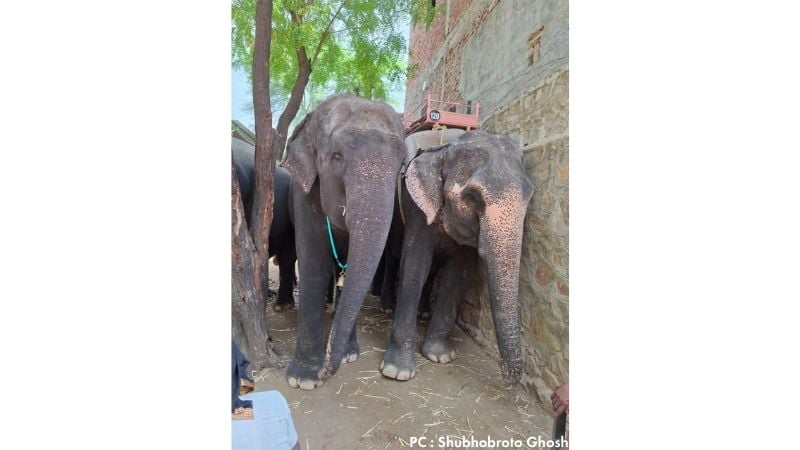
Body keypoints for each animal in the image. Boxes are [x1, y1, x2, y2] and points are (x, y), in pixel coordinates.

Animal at [281, 95, 406, 390]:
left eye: (402, 165)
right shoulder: (304, 196)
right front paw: (304, 379)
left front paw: (349, 355)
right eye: (336, 156)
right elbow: (313, 265)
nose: (325, 371)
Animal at [380, 129, 534, 384]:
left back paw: (423, 312)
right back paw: (386, 308)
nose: (510, 379)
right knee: (392, 257)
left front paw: (440, 356)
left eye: (529, 197)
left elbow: (459, 273)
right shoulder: (417, 207)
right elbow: (415, 265)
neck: (447, 148)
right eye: (474, 197)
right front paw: (397, 371)